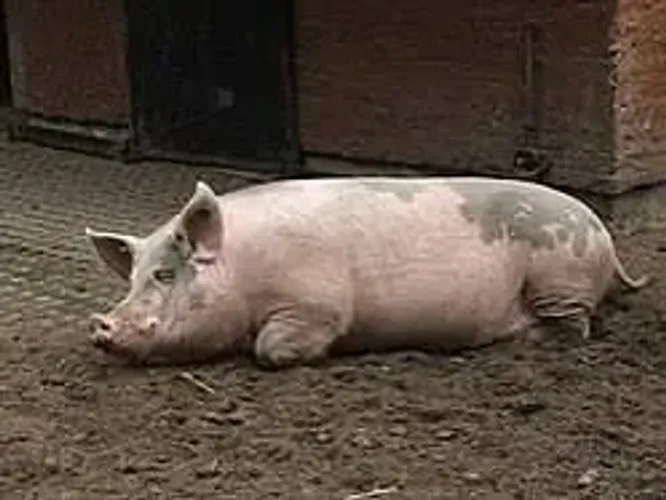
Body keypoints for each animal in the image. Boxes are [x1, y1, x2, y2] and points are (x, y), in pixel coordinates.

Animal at [85, 176, 647, 368]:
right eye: (132, 278)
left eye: (165, 275)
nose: (101, 326)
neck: (243, 271)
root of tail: (600, 229)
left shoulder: (316, 305)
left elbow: (272, 349)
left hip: (560, 279)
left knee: (575, 327)